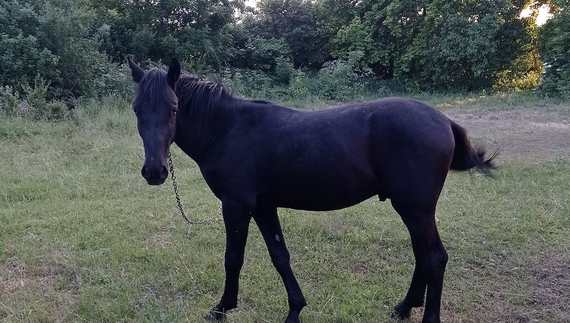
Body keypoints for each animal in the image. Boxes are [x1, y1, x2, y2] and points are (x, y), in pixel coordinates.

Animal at [126, 58, 490, 323]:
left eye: (174, 108)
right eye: (136, 109)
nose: (155, 171)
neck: (228, 130)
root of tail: (444, 121)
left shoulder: (236, 206)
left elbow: (233, 258)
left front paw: (222, 308)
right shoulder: (263, 207)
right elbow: (280, 256)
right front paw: (295, 309)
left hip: (415, 208)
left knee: (434, 258)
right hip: (415, 210)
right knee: (423, 256)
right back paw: (404, 307)